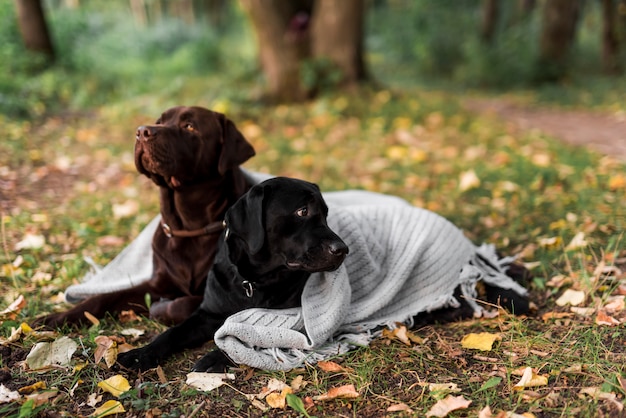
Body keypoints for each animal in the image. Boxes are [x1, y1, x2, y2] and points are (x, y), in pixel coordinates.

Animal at [36, 105, 255, 326]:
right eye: (160, 121)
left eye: (189, 126)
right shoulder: (156, 284)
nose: (142, 131)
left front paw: (161, 308)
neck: (189, 227)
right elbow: (104, 297)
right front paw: (56, 318)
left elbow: (185, 304)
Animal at [117, 176, 348, 372]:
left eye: (326, 214)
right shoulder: (207, 315)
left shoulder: (292, 321)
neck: (253, 281)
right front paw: (140, 354)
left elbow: (241, 339)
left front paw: (212, 359)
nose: (343, 249)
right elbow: (173, 332)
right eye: (302, 211)